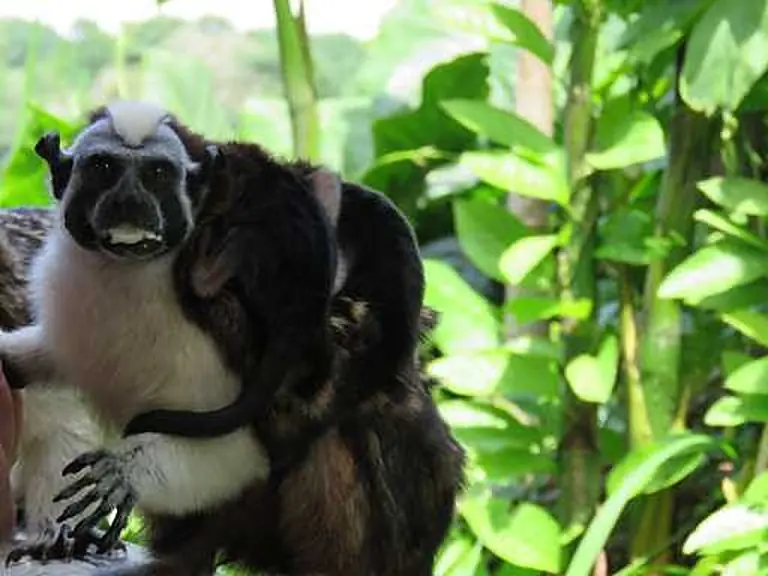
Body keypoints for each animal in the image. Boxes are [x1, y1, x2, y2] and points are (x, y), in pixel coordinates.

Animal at [1, 100, 465, 575]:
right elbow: (49, 363)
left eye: (157, 175)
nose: (129, 204)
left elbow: (238, 452)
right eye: (103, 168)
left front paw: (125, 473)